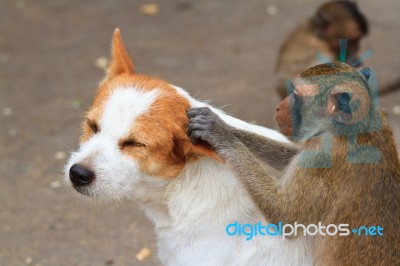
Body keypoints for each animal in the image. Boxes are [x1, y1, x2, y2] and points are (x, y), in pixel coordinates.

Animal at [187, 61, 400, 264]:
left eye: (296, 94)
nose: (279, 106)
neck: (352, 126)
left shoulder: (321, 156)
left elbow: (285, 216)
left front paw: (220, 134)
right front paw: (228, 128)